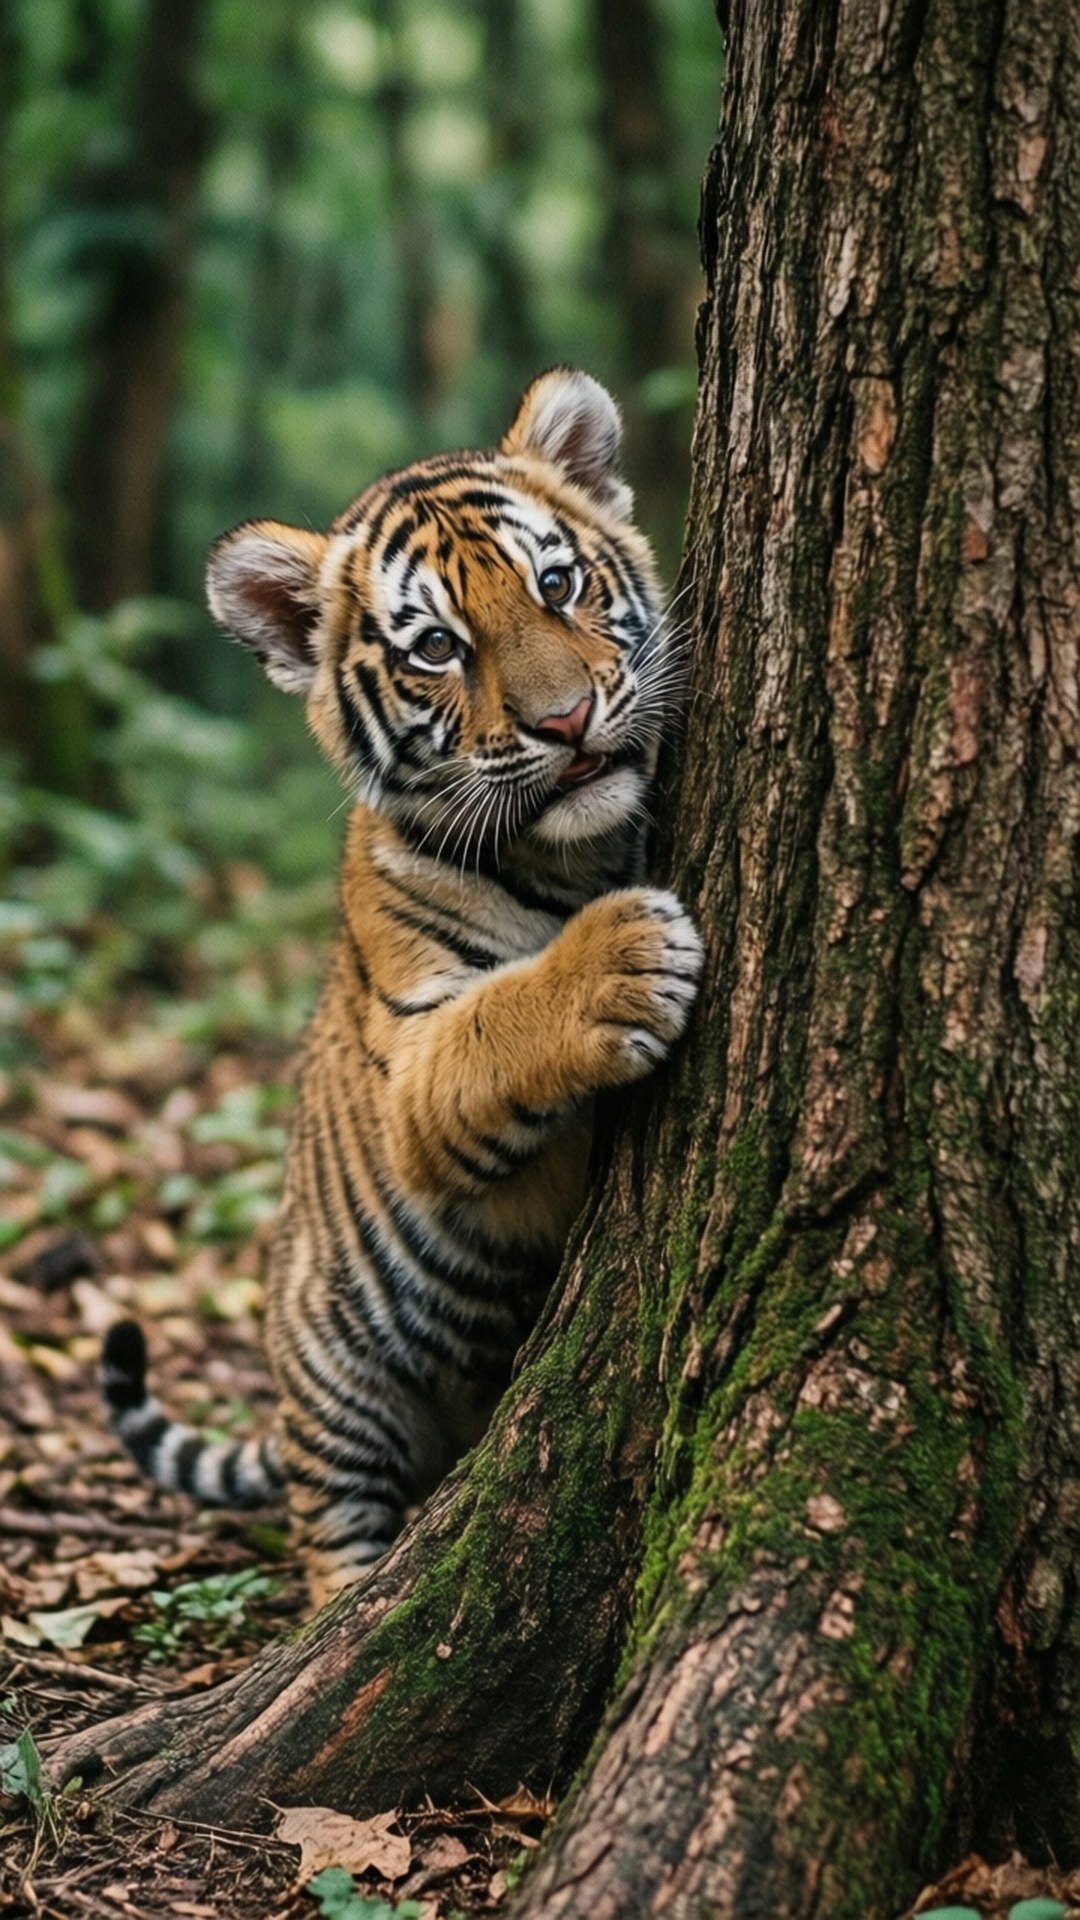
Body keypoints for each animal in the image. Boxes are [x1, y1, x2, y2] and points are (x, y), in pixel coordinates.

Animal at [102, 367, 703, 1607]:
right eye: (435, 646)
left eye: (557, 584)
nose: (566, 721)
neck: (575, 857)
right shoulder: (411, 1075)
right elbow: (496, 1019)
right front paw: (625, 957)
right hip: (338, 1389)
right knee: (333, 1539)